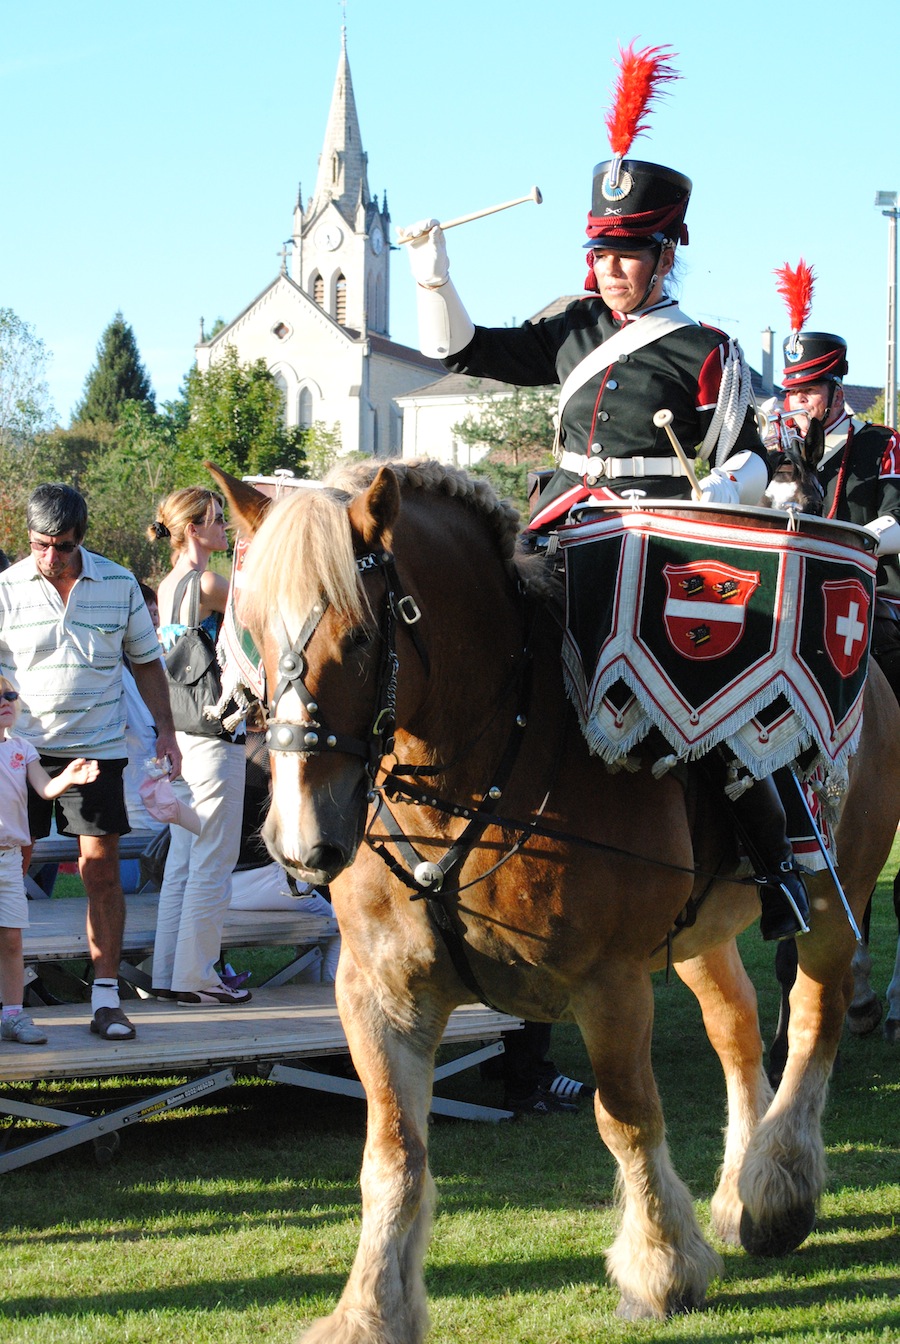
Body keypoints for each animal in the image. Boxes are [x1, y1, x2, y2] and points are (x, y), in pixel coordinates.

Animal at [213, 456, 900, 1338]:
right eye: (252, 631)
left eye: (363, 636)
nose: (304, 841)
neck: (483, 767)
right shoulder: (378, 991)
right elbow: (393, 1152)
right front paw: (371, 1308)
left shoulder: (610, 983)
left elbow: (627, 1117)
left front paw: (660, 1270)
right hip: (703, 932)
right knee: (738, 1028)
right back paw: (740, 1187)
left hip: (831, 898)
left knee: (814, 1018)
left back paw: (780, 1187)